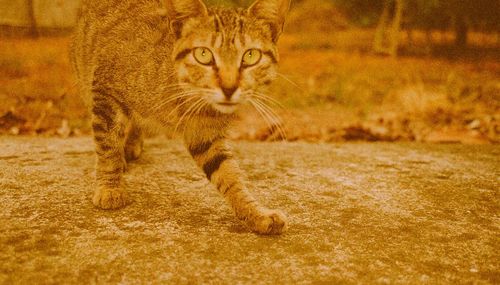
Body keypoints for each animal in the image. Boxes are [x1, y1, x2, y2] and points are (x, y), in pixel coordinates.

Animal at [70, 0, 290, 234]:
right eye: (203, 54)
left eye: (251, 56)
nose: (229, 88)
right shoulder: (105, 91)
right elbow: (108, 146)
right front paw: (109, 187)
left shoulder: (204, 135)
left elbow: (228, 175)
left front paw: (255, 213)